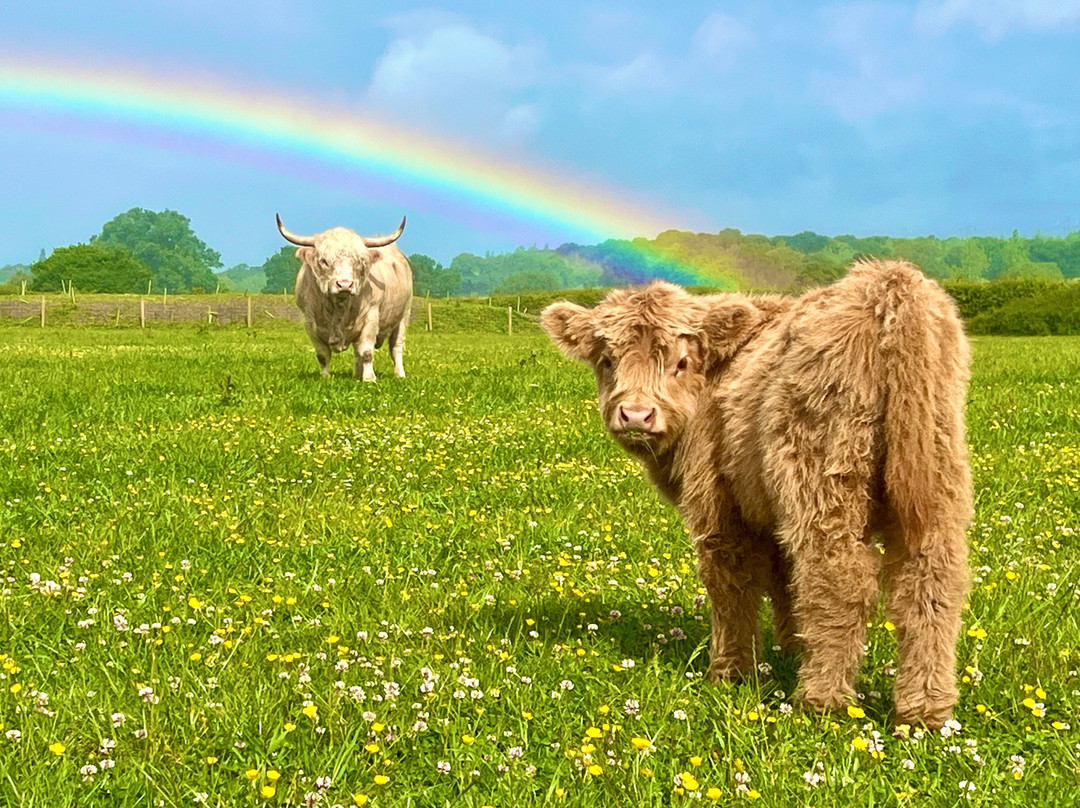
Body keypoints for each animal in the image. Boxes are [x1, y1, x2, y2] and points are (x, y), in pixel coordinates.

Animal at [277, 214, 413, 381]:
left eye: (359, 262)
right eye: (324, 261)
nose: (345, 284)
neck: (338, 308)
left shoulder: (371, 317)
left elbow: (367, 352)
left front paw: (369, 378)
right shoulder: (310, 323)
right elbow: (323, 355)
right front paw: (325, 377)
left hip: (403, 316)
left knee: (396, 348)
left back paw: (400, 374)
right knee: (357, 351)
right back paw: (357, 374)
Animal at [541, 260, 971, 728]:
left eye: (681, 361)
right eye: (607, 360)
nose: (636, 414)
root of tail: (888, 281)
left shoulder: (719, 508)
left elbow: (730, 584)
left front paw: (731, 672)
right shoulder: (769, 514)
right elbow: (784, 582)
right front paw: (791, 647)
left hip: (823, 475)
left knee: (839, 578)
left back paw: (820, 700)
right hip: (935, 477)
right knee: (929, 585)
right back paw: (924, 711)